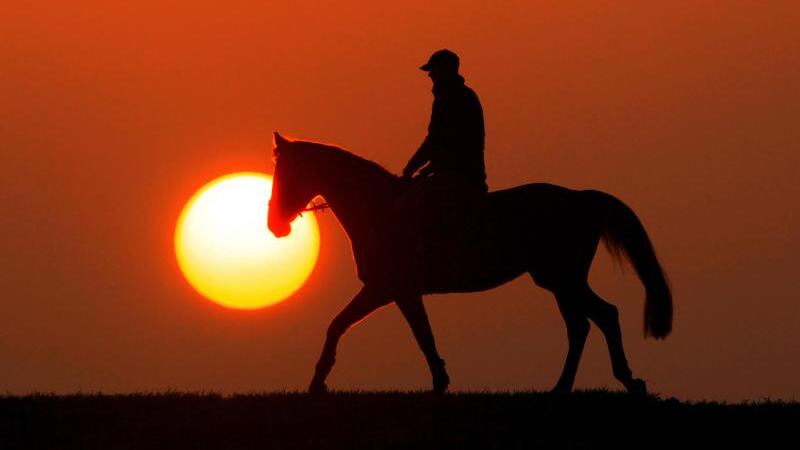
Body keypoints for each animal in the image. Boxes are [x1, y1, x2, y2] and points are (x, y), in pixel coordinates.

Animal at [268, 132, 668, 396]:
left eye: (288, 173)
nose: (274, 225)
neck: (376, 207)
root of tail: (582, 198)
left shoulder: (383, 288)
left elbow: (339, 325)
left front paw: (317, 383)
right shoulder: (403, 292)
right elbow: (423, 335)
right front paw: (440, 382)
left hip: (561, 278)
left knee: (599, 317)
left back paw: (615, 381)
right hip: (559, 281)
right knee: (586, 323)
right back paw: (568, 387)